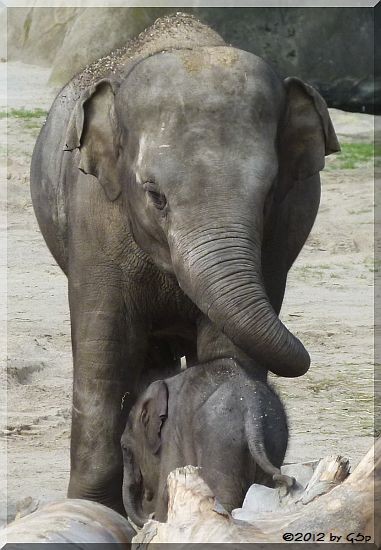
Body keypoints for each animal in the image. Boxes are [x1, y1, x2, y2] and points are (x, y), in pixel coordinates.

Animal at [121, 360, 290, 528]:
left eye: (125, 448)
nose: (151, 515)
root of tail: (251, 408)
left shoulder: (172, 435)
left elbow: (166, 491)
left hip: (220, 442)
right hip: (272, 437)